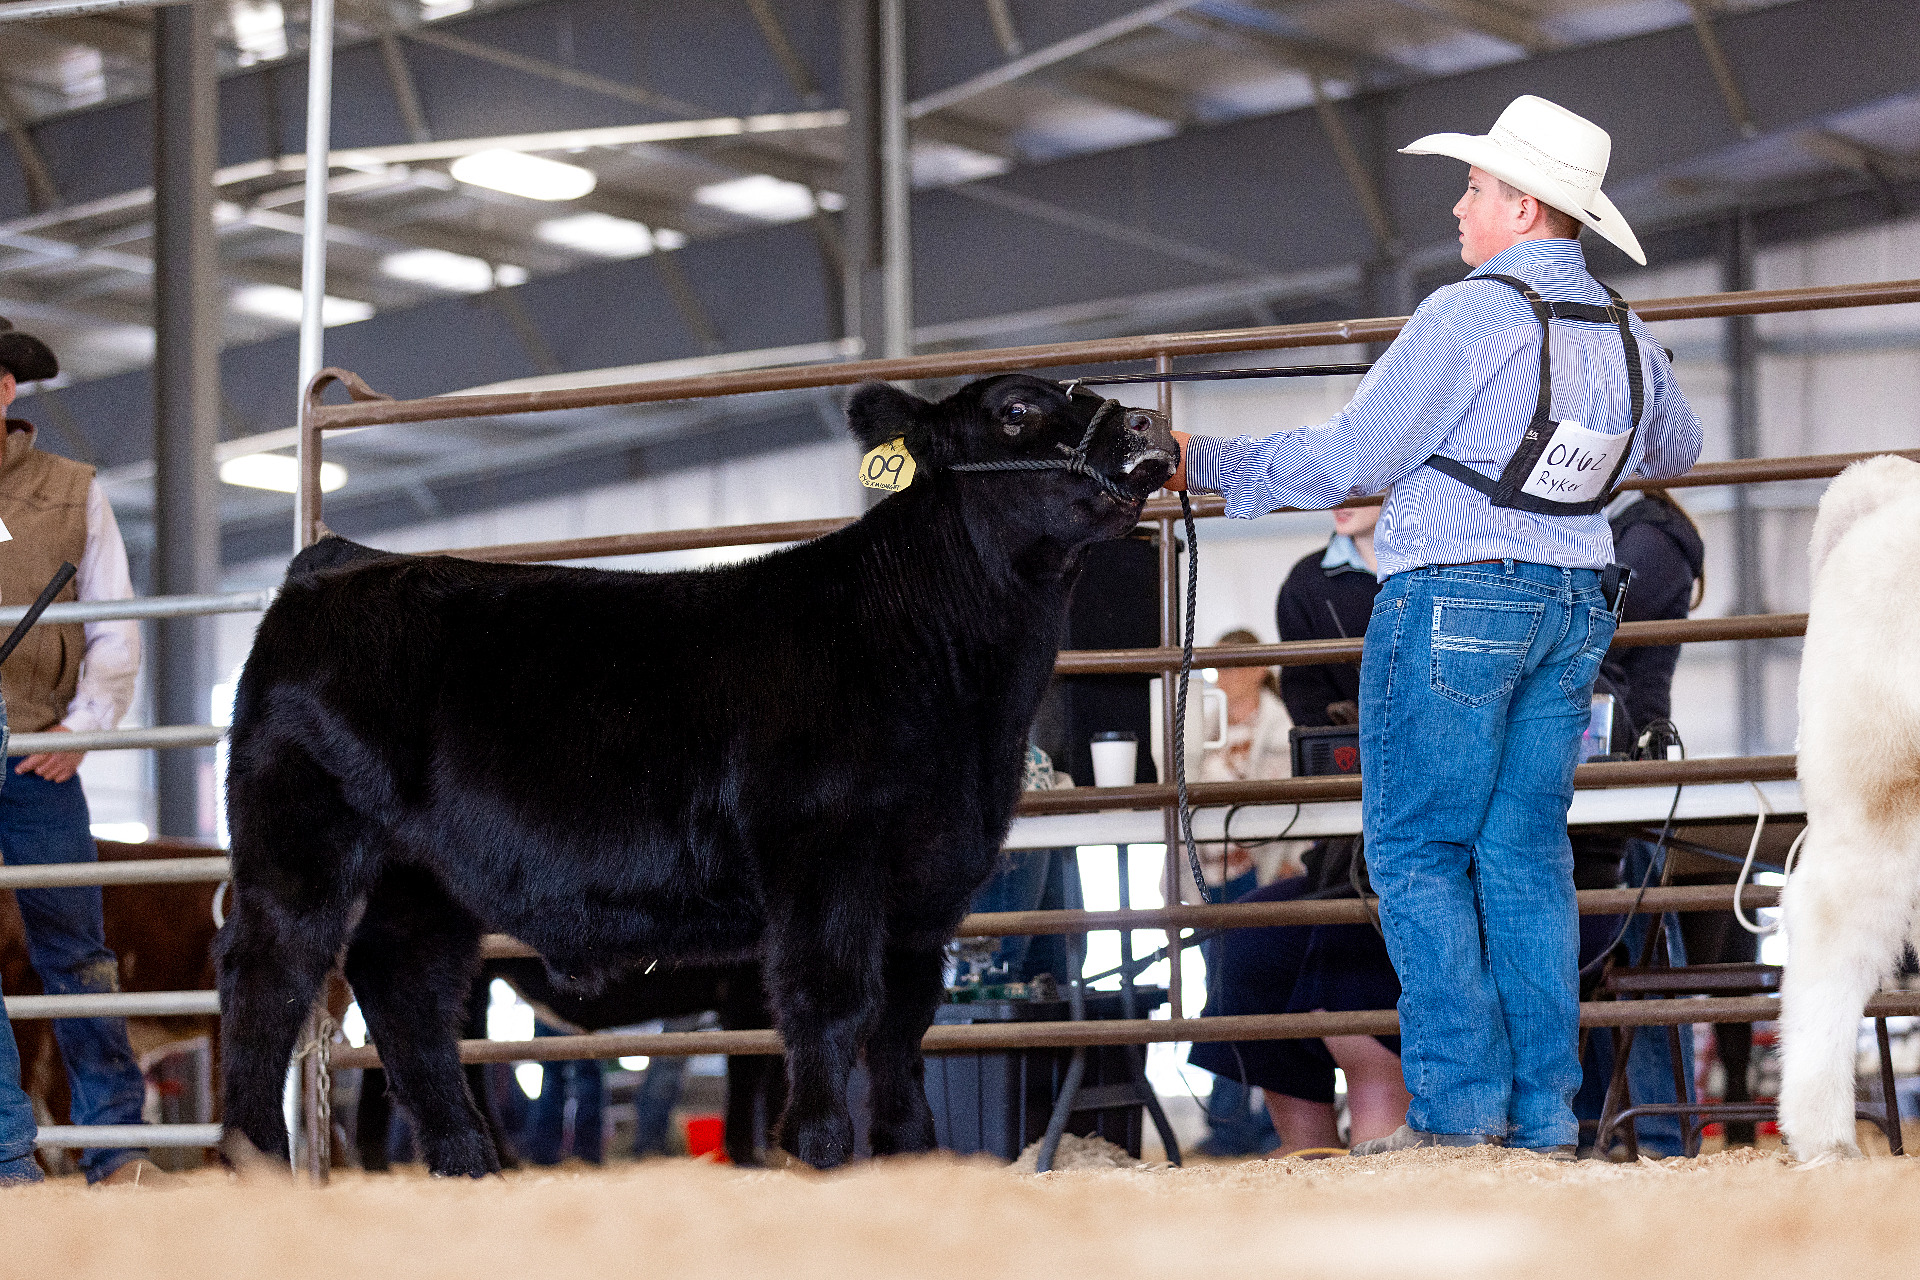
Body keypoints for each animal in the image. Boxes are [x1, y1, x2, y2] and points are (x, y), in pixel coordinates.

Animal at [216, 375, 1177, 1175]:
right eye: (1016, 411)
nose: (1145, 423)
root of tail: (338, 560)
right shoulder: (822, 859)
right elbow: (830, 1008)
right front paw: (822, 1157)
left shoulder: (929, 887)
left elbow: (903, 1032)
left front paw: (911, 1163)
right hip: (297, 835)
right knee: (268, 976)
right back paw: (258, 1163)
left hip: (427, 874)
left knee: (404, 985)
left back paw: (466, 1163)